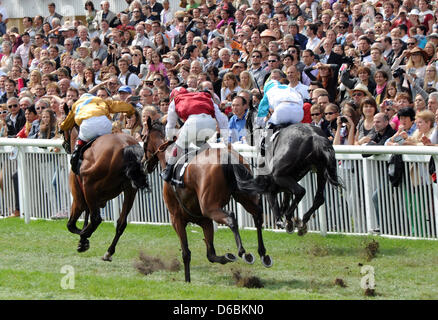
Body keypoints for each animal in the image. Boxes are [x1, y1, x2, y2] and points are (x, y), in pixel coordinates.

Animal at [61, 126, 148, 262]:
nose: (64, 145)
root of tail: (125, 145)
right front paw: (83, 240)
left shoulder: (79, 198)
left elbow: (71, 225)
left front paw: (83, 241)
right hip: (130, 190)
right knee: (121, 223)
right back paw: (108, 252)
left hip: (89, 186)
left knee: (96, 219)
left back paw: (85, 237)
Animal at [144, 118, 272, 282]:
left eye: (143, 138)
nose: (144, 163)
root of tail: (226, 157)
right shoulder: (204, 220)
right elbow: (210, 254)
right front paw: (227, 256)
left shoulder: (176, 219)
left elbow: (186, 253)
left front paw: (187, 280)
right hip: (243, 195)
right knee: (257, 215)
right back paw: (263, 254)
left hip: (209, 207)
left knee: (231, 217)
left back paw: (244, 252)